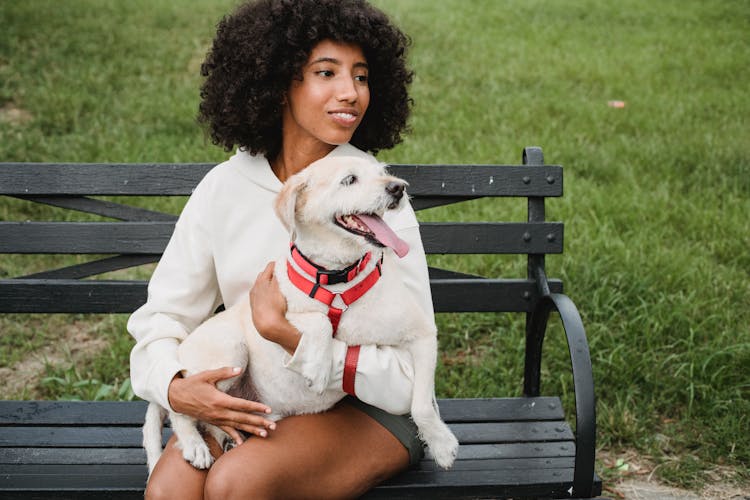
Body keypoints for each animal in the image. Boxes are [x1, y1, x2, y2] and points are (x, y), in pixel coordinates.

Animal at [141, 155, 458, 472]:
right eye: (349, 179)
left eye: (383, 172)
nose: (398, 188)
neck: (338, 279)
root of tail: (180, 353)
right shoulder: (265, 310)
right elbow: (319, 320)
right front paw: (317, 366)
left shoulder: (422, 335)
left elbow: (422, 403)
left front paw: (441, 445)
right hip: (229, 349)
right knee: (181, 407)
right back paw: (194, 444)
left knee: (212, 415)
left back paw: (228, 435)